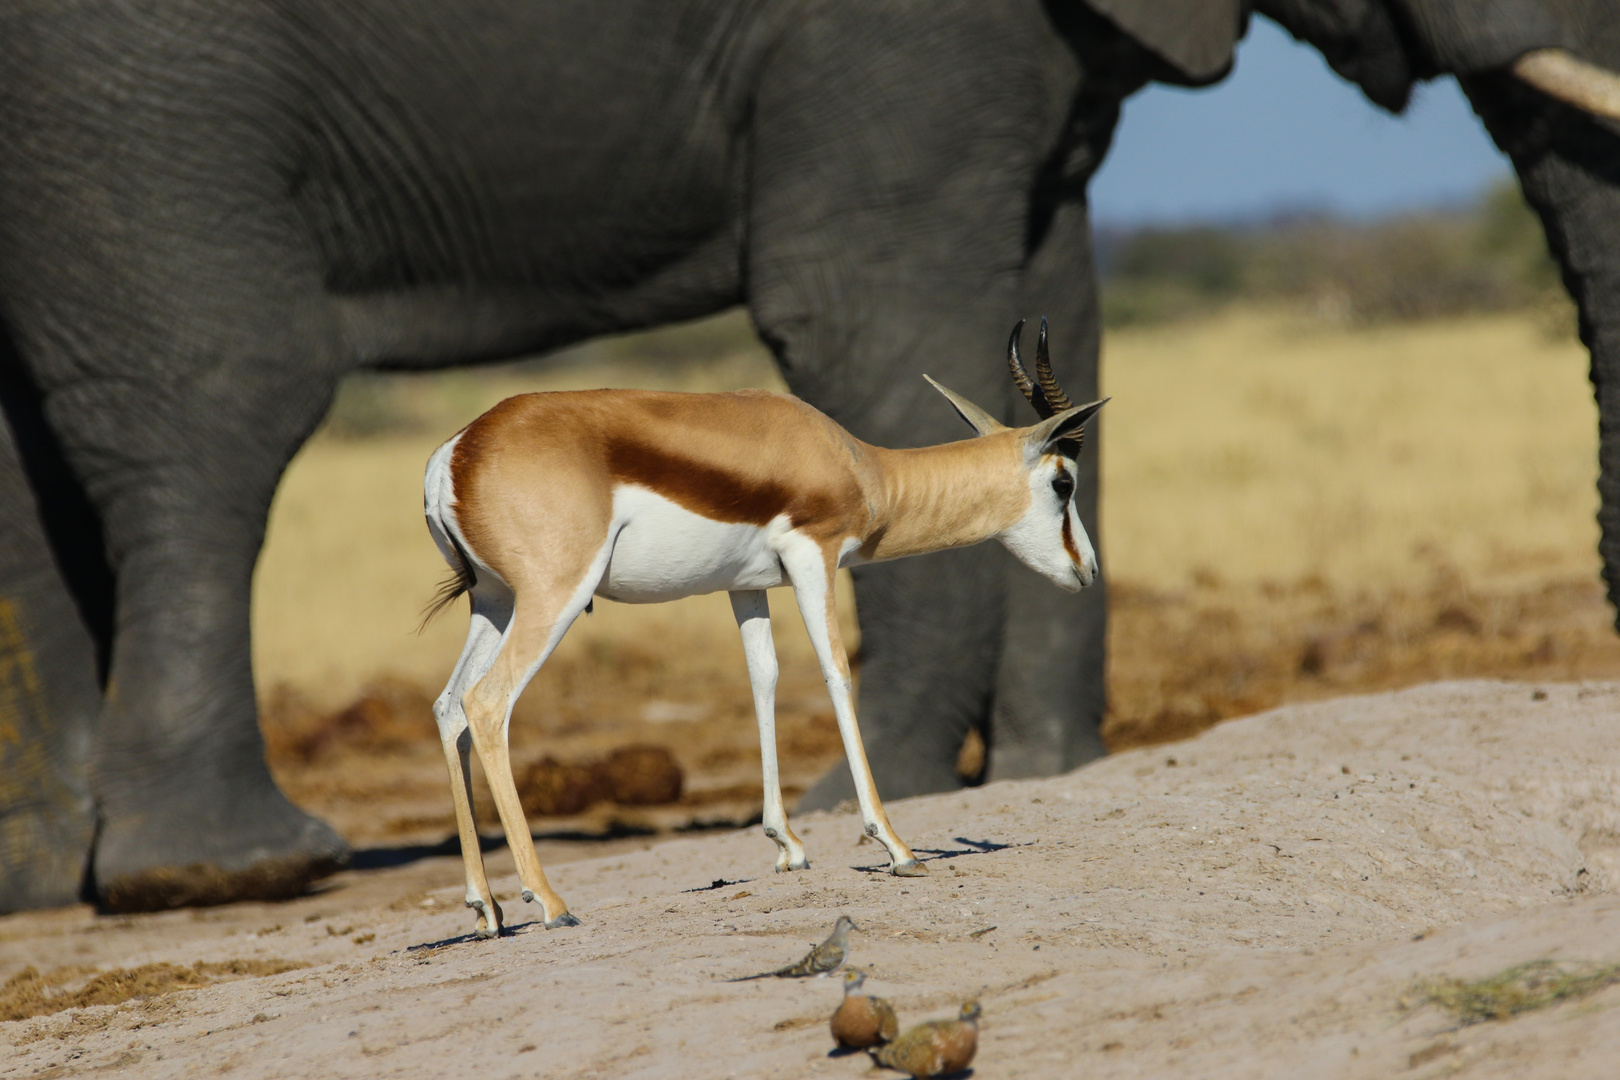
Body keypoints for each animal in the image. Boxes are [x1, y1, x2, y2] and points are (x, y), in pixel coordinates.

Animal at [0, 0, 1613, 919]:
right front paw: (888, 845)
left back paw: (482, 908)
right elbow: (839, 676)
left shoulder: (744, 582)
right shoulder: (813, 550)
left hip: (490, 600)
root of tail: (456, 439)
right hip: (547, 601)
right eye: (1065, 482)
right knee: (491, 709)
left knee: (447, 709)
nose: (1087, 564)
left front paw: (782, 847)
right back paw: (547, 902)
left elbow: (769, 689)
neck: (864, 464)